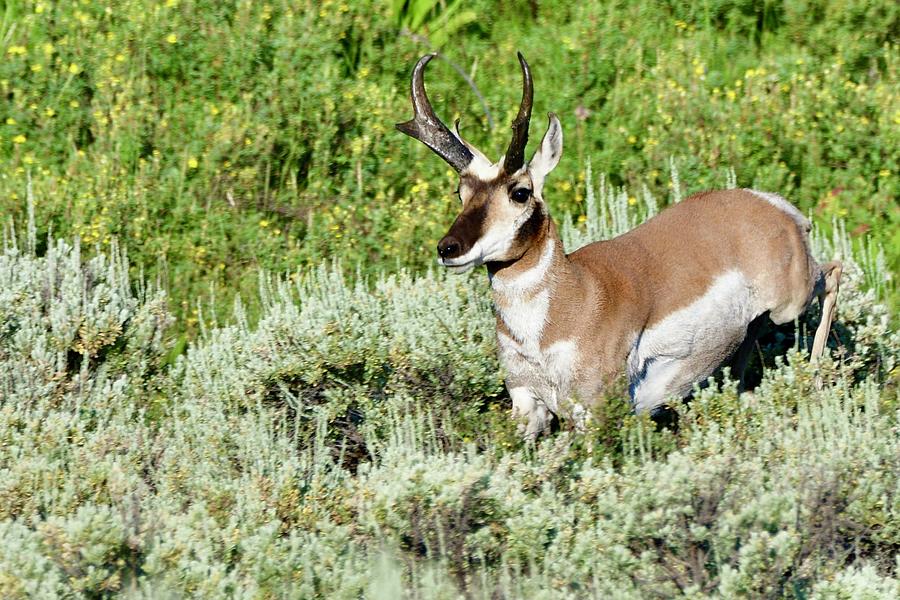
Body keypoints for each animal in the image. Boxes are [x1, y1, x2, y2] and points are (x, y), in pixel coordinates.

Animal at [398, 54, 840, 438]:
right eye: (461, 192)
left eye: (520, 192)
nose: (448, 248)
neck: (574, 295)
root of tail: (772, 205)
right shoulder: (526, 402)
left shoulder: (592, 413)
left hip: (790, 303)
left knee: (834, 273)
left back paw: (816, 379)